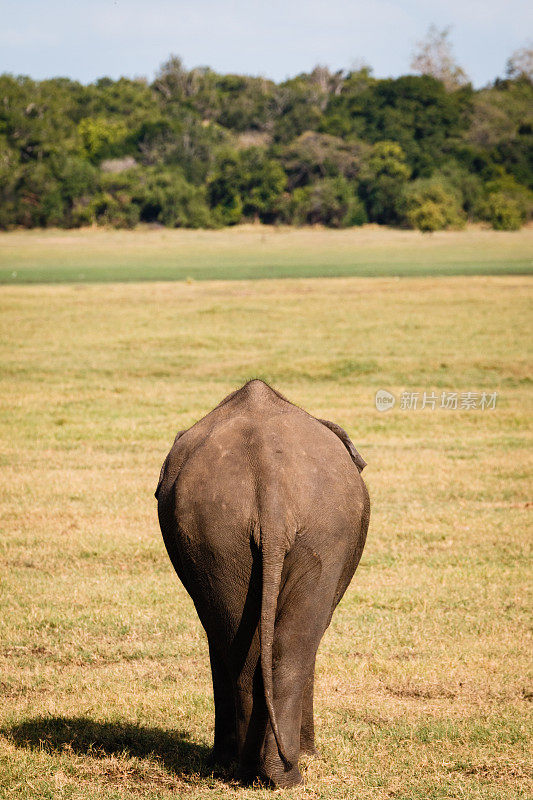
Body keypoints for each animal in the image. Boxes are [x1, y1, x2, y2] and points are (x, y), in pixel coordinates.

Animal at [156, 382, 368, 788]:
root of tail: (271, 490)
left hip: (225, 533)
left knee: (254, 646)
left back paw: (260, 771)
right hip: (280, 533)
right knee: (276, 646)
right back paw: (271, 770)